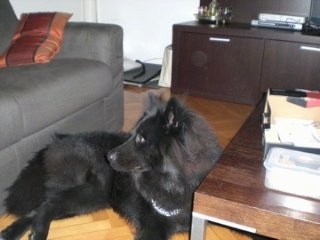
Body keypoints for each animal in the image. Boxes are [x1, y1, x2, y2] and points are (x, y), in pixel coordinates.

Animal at [0, 94, 221, 240]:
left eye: (141, 139)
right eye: (133, 134)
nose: (108, 156)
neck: (172, 180)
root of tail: (56, 141)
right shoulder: (153, 226)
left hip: (91, 200)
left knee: (39, 208)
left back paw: (10, 233)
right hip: (92, 191)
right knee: (46, 206)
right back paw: (36, 233)